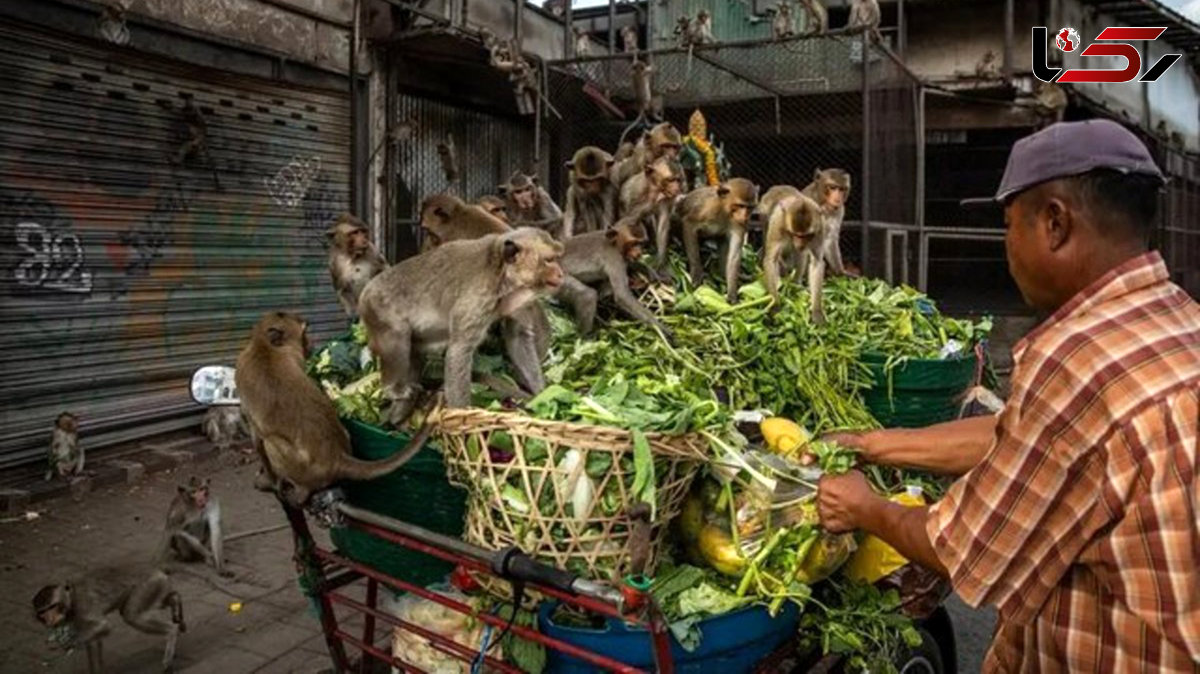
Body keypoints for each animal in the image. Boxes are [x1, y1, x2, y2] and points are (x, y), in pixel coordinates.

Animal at [32, 566, 183, 671]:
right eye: (42, 612)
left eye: (53, 606)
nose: (50, 619)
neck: (71, 598)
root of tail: (158, 571)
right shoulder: (77, 618)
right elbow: (93, 639)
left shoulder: (83, 605)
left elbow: (103, 626)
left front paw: (68, 643)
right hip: (155, 586)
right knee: (158, 601)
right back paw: (175, 601)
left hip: (147, 586)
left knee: (131, 615)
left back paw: (171, 632)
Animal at [234, 311, 436, 503]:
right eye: (304, 333)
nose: (311, 344)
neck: (263, 346)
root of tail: (337, 457)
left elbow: (257, 441)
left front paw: (269, 480)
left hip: (300, 468)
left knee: (270, 441)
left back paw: (299, 492)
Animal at [355, 227, 566, 422]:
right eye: (549, 260)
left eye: (557, 258)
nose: (561, 274)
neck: (502, 273)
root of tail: (364, 293)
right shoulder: (478, 298)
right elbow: (459, 350)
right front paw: (463, 416)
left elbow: (517, 339)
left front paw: (542, 394)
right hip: (378, 312)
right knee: (398, 339)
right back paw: (394, 390)